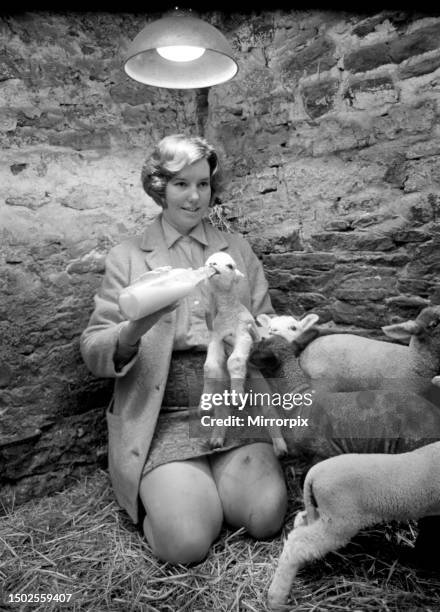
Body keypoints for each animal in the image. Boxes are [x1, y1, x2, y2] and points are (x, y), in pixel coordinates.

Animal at [200, 251, 288, 456]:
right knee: (222, 412)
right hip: (222, 391)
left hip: (260, 385)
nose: (212, 265)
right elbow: (209, 366)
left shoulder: (243, 334)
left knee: (269, 412)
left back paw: (281, 448)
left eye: (230, 266)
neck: (228, 313)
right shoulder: (216, 338)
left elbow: (235, 359)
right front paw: (205, 401)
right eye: (209, 261)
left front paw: (237, 395)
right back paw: (216, 440)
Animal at [266, 438, 440, 608]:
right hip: (339, 521)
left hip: (323, 514)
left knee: (300, 524)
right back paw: (276, 599)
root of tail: (313, 474)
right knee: (297, 544)